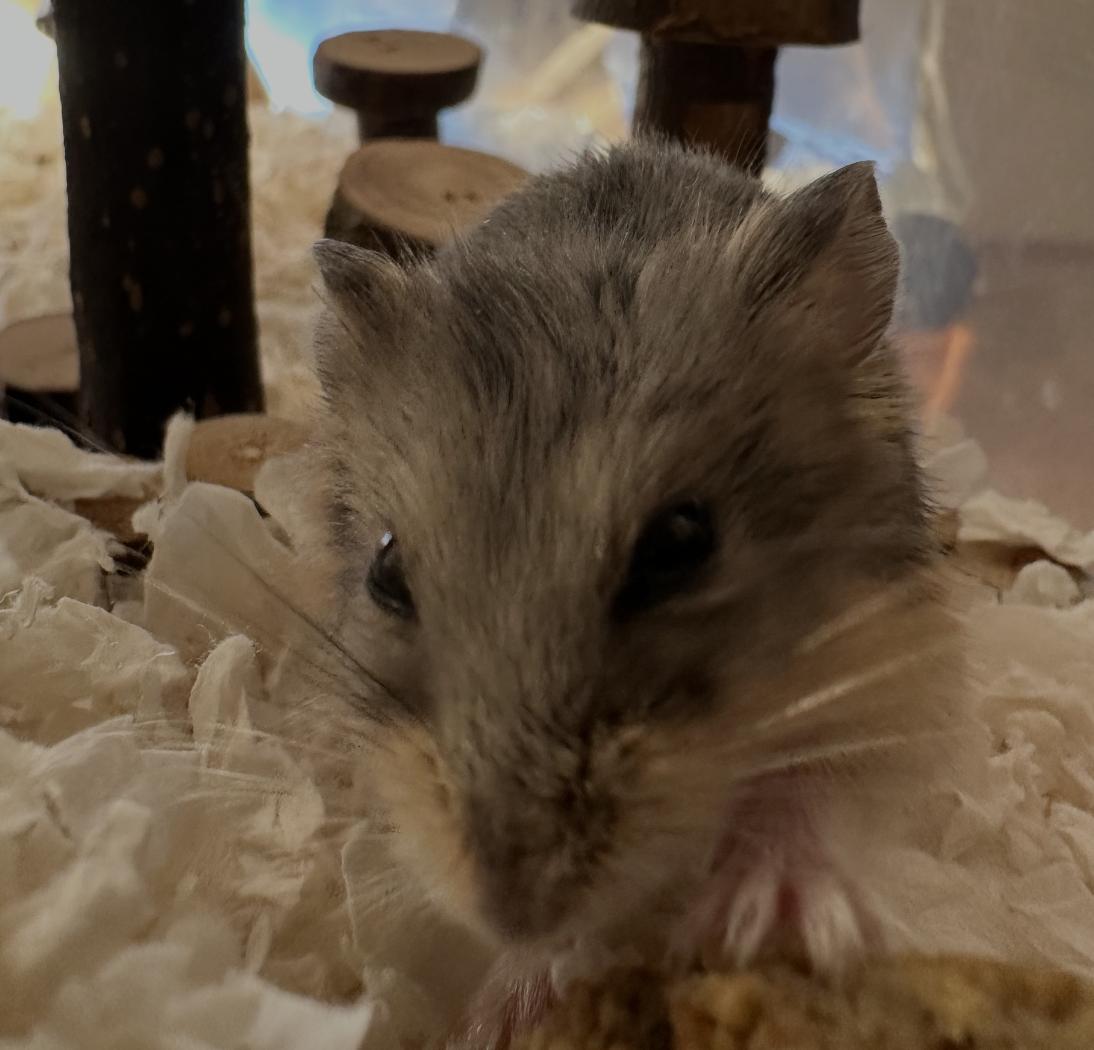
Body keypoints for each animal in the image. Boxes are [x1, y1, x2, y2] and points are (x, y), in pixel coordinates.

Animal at [307, 139, 965, 1045]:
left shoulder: (896, 669)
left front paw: (768, 919)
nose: (514, 913)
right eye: (385, 572)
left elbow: (809, 791)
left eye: (681, 545)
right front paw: (501, 1010)